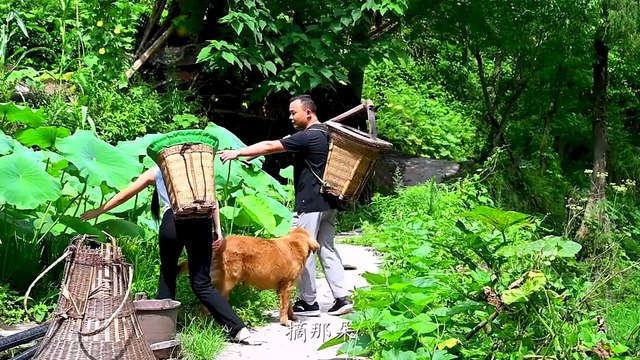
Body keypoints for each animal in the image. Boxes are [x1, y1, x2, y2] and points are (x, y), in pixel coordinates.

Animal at [178, 228, 320, 326]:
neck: (295, 243)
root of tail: (219, 244)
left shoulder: (283, 287)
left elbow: (288, 305)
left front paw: (292, 318)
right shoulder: (287, 285)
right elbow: (284, 306)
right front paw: (285, 321)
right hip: (226, 285)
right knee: (205, 307)